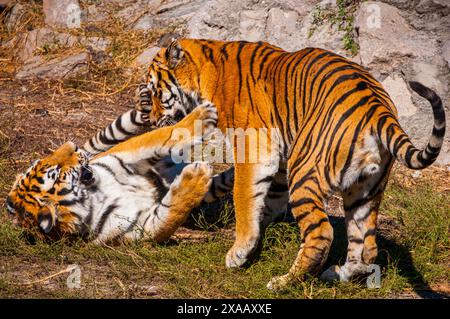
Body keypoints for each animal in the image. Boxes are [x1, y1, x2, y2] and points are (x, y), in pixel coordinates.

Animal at [140, 38, 446, 292]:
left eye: (154, 92)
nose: (151, 120)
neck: (206, 70)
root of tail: (378, 108)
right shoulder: (279, 161)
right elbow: (244, 189)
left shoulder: (257, 148)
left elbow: (243, 196)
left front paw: (240, 251)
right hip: (365, 190)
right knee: (367, 245)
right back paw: (338, 274)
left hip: (306, 170)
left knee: (322, 234)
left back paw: (284, 282)